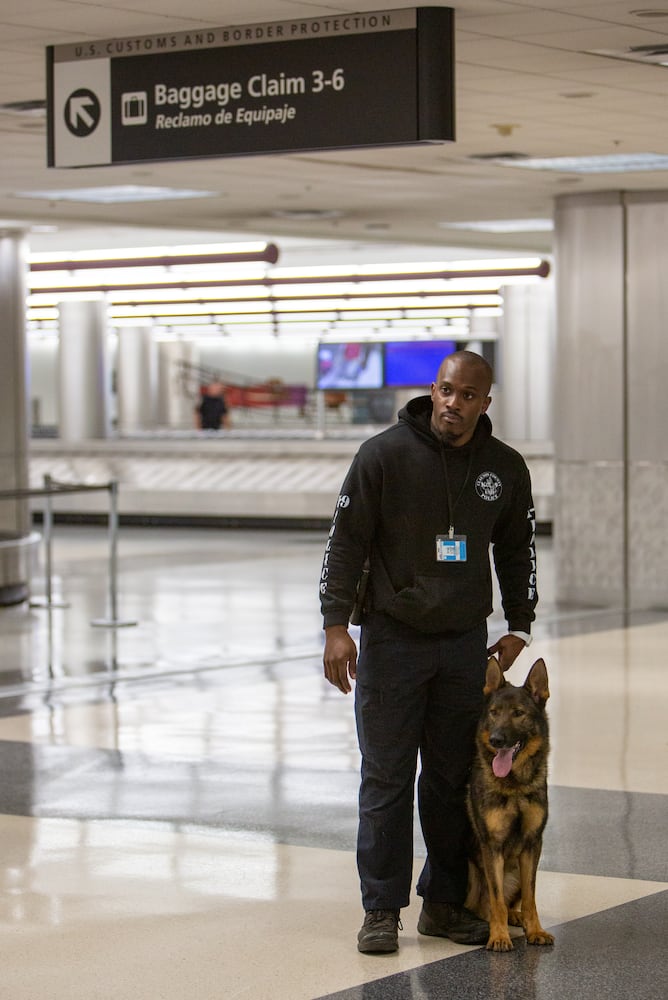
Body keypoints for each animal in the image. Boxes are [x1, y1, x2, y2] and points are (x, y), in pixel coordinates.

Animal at [464, 660, 552, 948]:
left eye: (518, 713)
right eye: (494, 713)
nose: (496, 740)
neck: (515, 786)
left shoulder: (533, 844)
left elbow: (530, 897)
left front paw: (535, 930)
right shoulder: (492, 846)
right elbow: (496, 898)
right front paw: (499, 935)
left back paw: (517, 917)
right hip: (473, 871)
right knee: (482, 904)